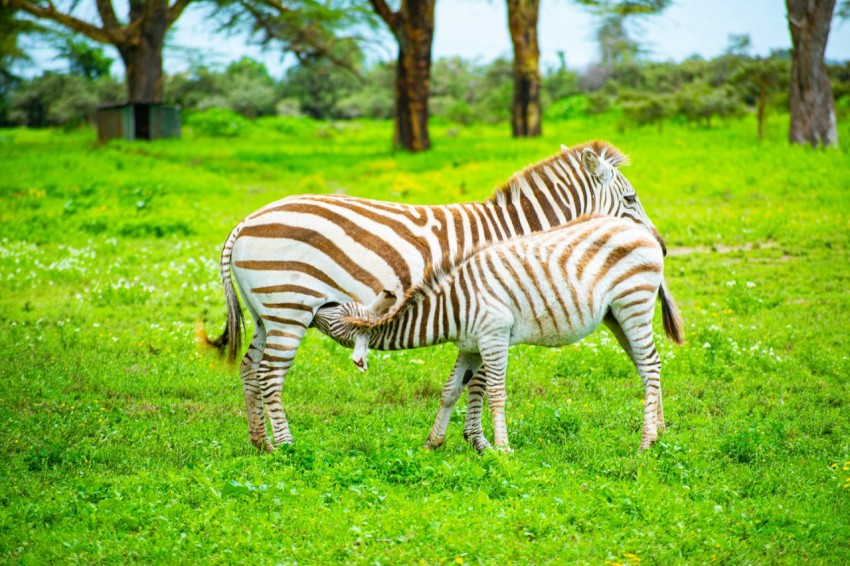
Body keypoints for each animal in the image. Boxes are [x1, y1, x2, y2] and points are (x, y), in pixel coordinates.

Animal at [314, 215, 684, 453]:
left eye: (336, 322)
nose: (316, 307)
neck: (451, 306)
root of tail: (642, 230)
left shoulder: (493, 337)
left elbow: (495, 393)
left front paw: (503, 449)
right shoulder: (471, 345)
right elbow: (450, 391)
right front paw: (433, 442)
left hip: (633, 304)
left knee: (650, 364)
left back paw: (645, 443)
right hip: (616, 316)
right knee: (647, 368)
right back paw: (659, 432)